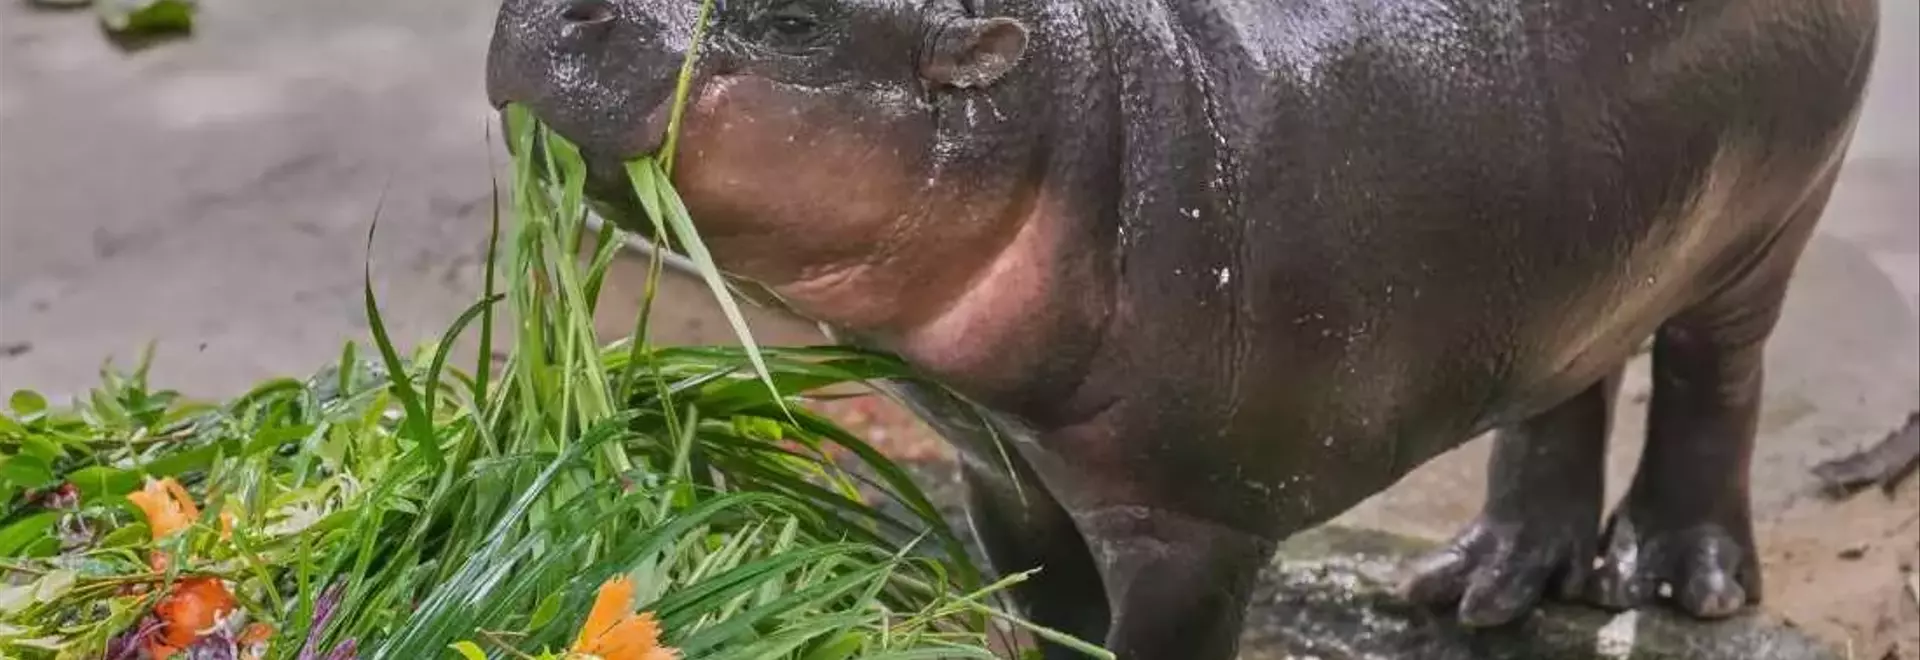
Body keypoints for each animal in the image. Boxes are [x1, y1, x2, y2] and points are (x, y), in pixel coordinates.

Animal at [484, 0, 1881, 657]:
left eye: (794, 21)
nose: (561, 8)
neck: (1063, 109)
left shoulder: (1192, 524)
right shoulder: (1000, 469)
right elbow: (1042, 612)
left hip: (1773, 220)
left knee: (1712, 378)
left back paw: (1677, 581)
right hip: (1587, 258)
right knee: (1565, 390)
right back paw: (1480, 587)